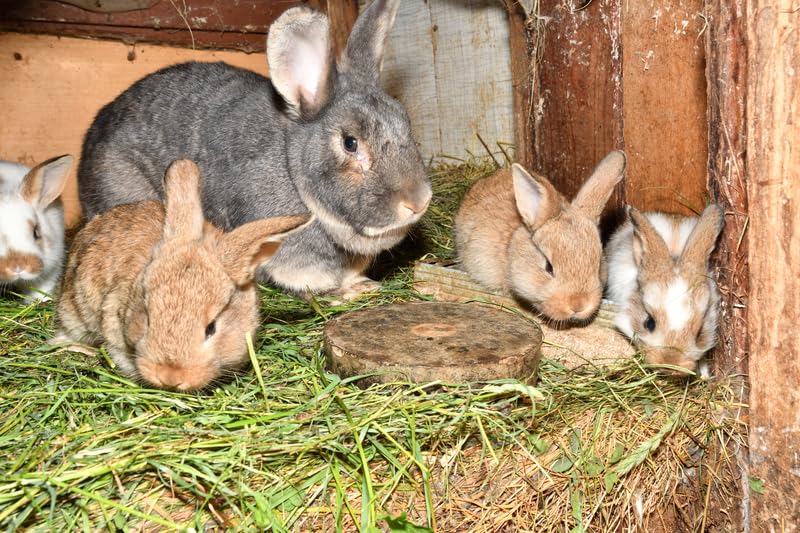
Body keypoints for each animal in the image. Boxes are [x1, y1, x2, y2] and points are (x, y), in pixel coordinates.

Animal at [77, 0, 431, 302]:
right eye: (350, 142)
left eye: (405, 120)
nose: (419, 201)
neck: (293, 171)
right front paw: (345, 293)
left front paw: (363, 285)